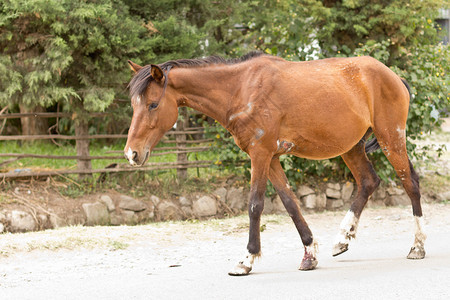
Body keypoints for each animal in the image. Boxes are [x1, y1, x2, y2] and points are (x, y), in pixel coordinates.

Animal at [123, 51, 426, 274]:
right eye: (134, 105)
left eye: (152, 105)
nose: (131, 154)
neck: (240, 89)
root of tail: (392, 75)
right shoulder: (271, 159)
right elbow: (290, 203)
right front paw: (309, 254)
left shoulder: (260, 155)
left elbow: (255, 205)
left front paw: (247, 259)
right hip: (352, 147)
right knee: (368, 182)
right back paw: (342, 239)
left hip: (391, 138)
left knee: (409, 183)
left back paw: (417, 247)